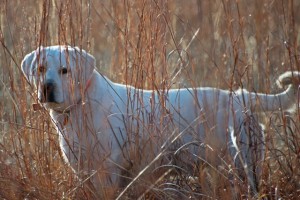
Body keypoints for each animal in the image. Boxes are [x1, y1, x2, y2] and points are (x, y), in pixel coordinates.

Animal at [20, 45, 298, 198]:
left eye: (64, 70)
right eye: (41, 68)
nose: (47, 88)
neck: (80, 106)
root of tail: (240, 97)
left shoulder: (108, 172)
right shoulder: (83, 171)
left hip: (242, 165)